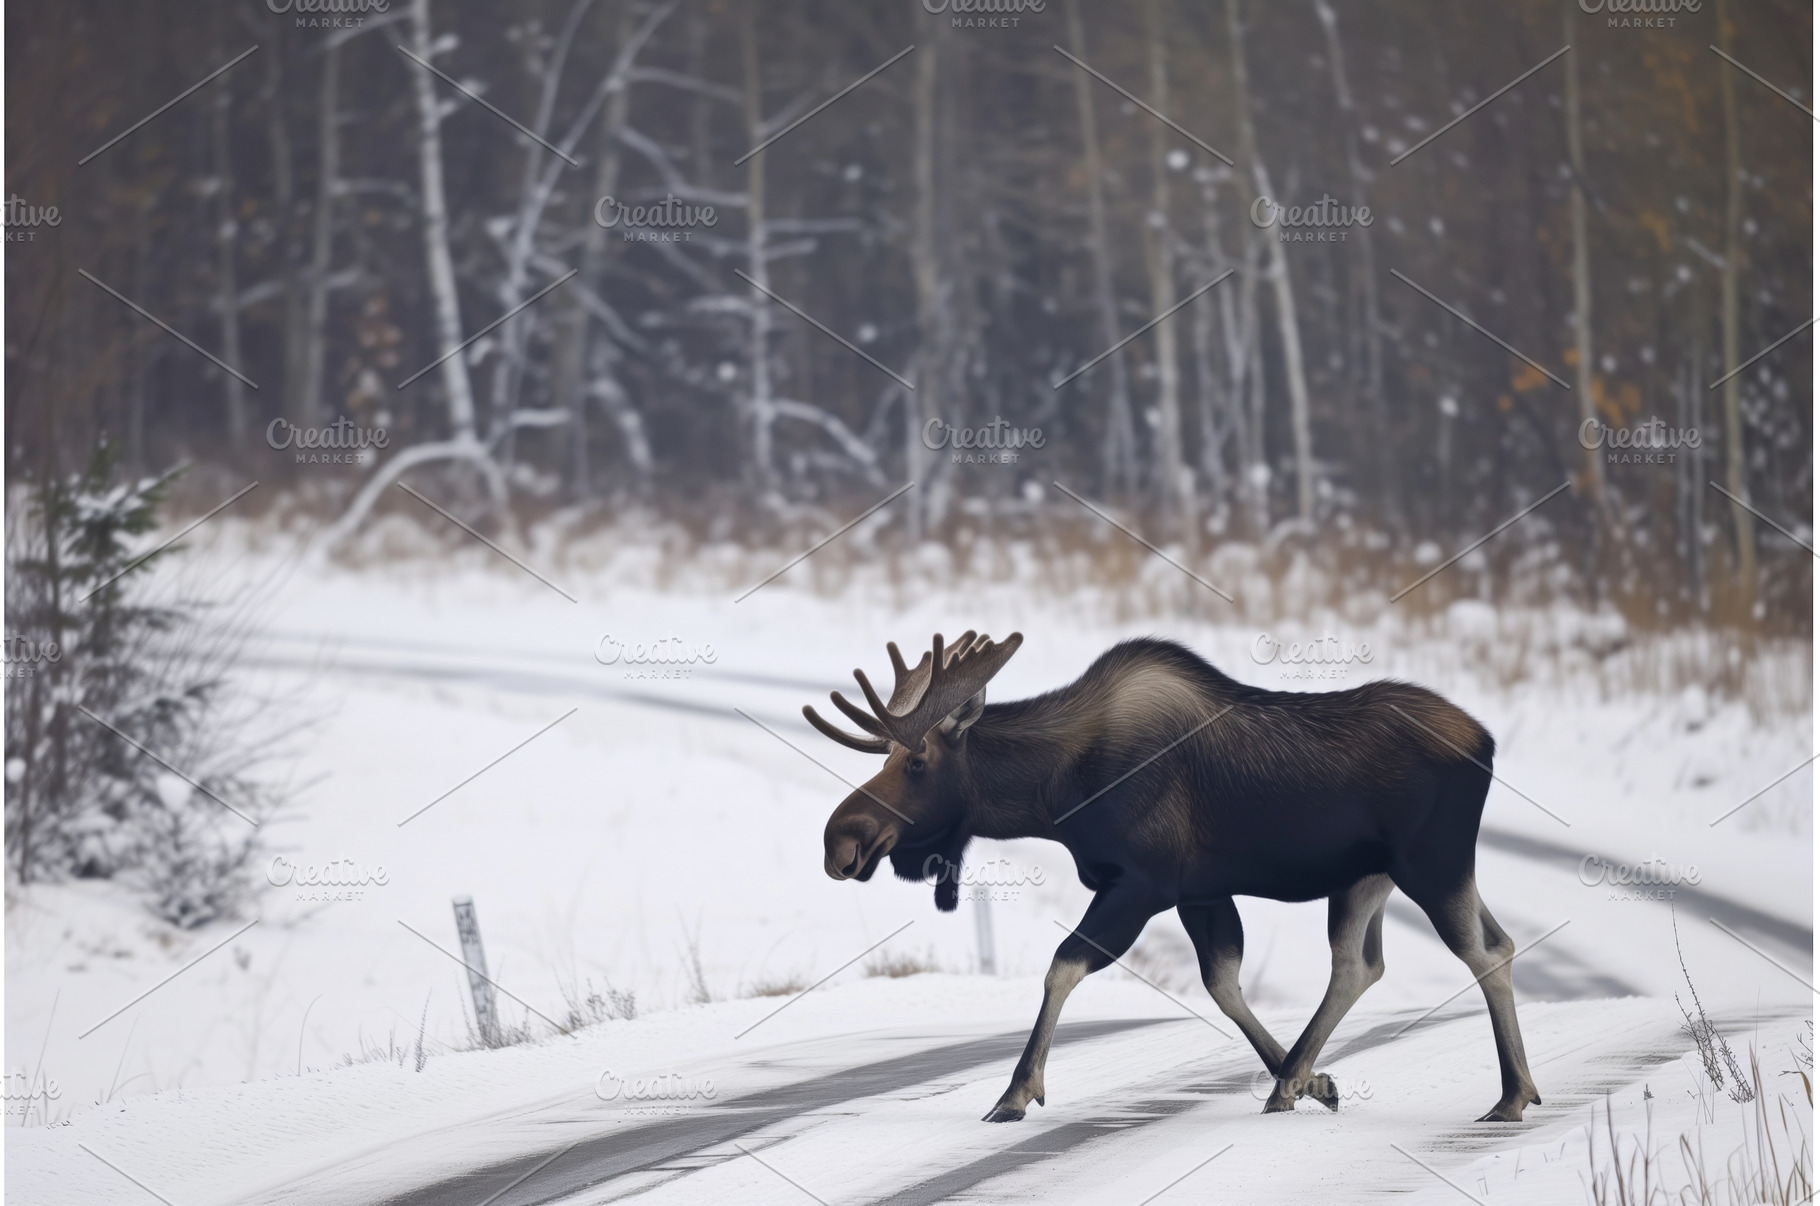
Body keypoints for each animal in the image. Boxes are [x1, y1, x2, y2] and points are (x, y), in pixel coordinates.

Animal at [804, 631, 1540, 1124]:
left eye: (917, 762)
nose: (840, 839)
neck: (1055, 794)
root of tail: (1487, 743)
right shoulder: (1201, 892)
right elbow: (1223, 984)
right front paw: (1315, 1081)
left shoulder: (1141, 885)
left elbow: (1062, 965)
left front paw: (1014, 1093)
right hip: (1369, 876)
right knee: (1368, 963)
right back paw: (1297, 1082)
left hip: (1431, 861)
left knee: (1481, 950)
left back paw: (1509, 1096)